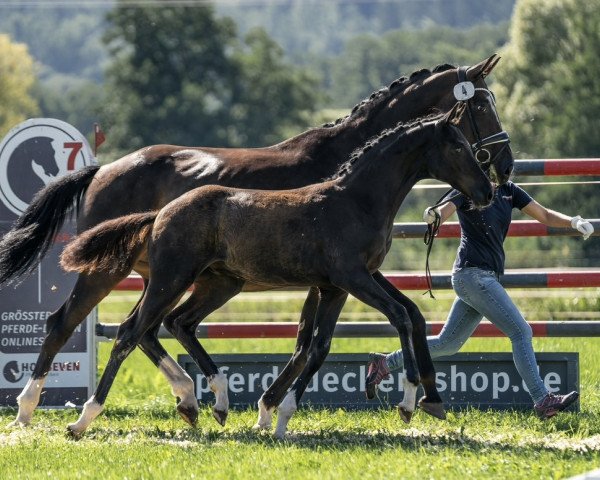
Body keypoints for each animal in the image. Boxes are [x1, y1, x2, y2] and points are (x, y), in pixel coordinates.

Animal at [2, 53, 512, 428]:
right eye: (482, 107)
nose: (502, 170)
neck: (347, 176)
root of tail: (100, 169)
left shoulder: (349, 276)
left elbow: (397, 319)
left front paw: (429, 397)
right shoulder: (340, 277)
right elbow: (313, 341)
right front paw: (272, 408)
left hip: (184, 277)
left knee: (151, 326)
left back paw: (194, 399)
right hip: (116, 270)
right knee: (70, 323)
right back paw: (31, 409)